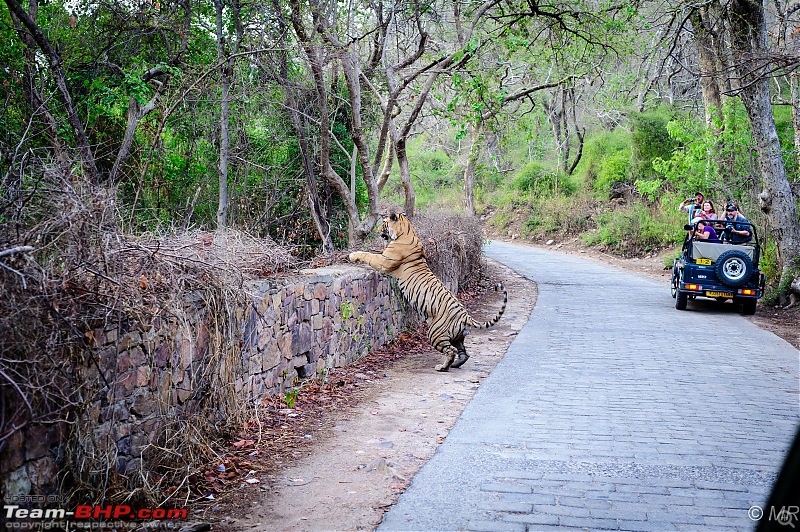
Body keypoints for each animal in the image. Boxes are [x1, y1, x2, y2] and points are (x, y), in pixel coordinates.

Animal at [348, 211, 506, 370]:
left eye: (384, 222)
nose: (378, 231)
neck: (406, 231)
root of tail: (466, 317)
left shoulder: (384, 261)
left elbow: (368, 254)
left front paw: (352, 255)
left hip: (435, 333)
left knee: (451, 350)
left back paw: (442, 367)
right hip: (457, 337)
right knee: (464, 353)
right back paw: (455, 365)